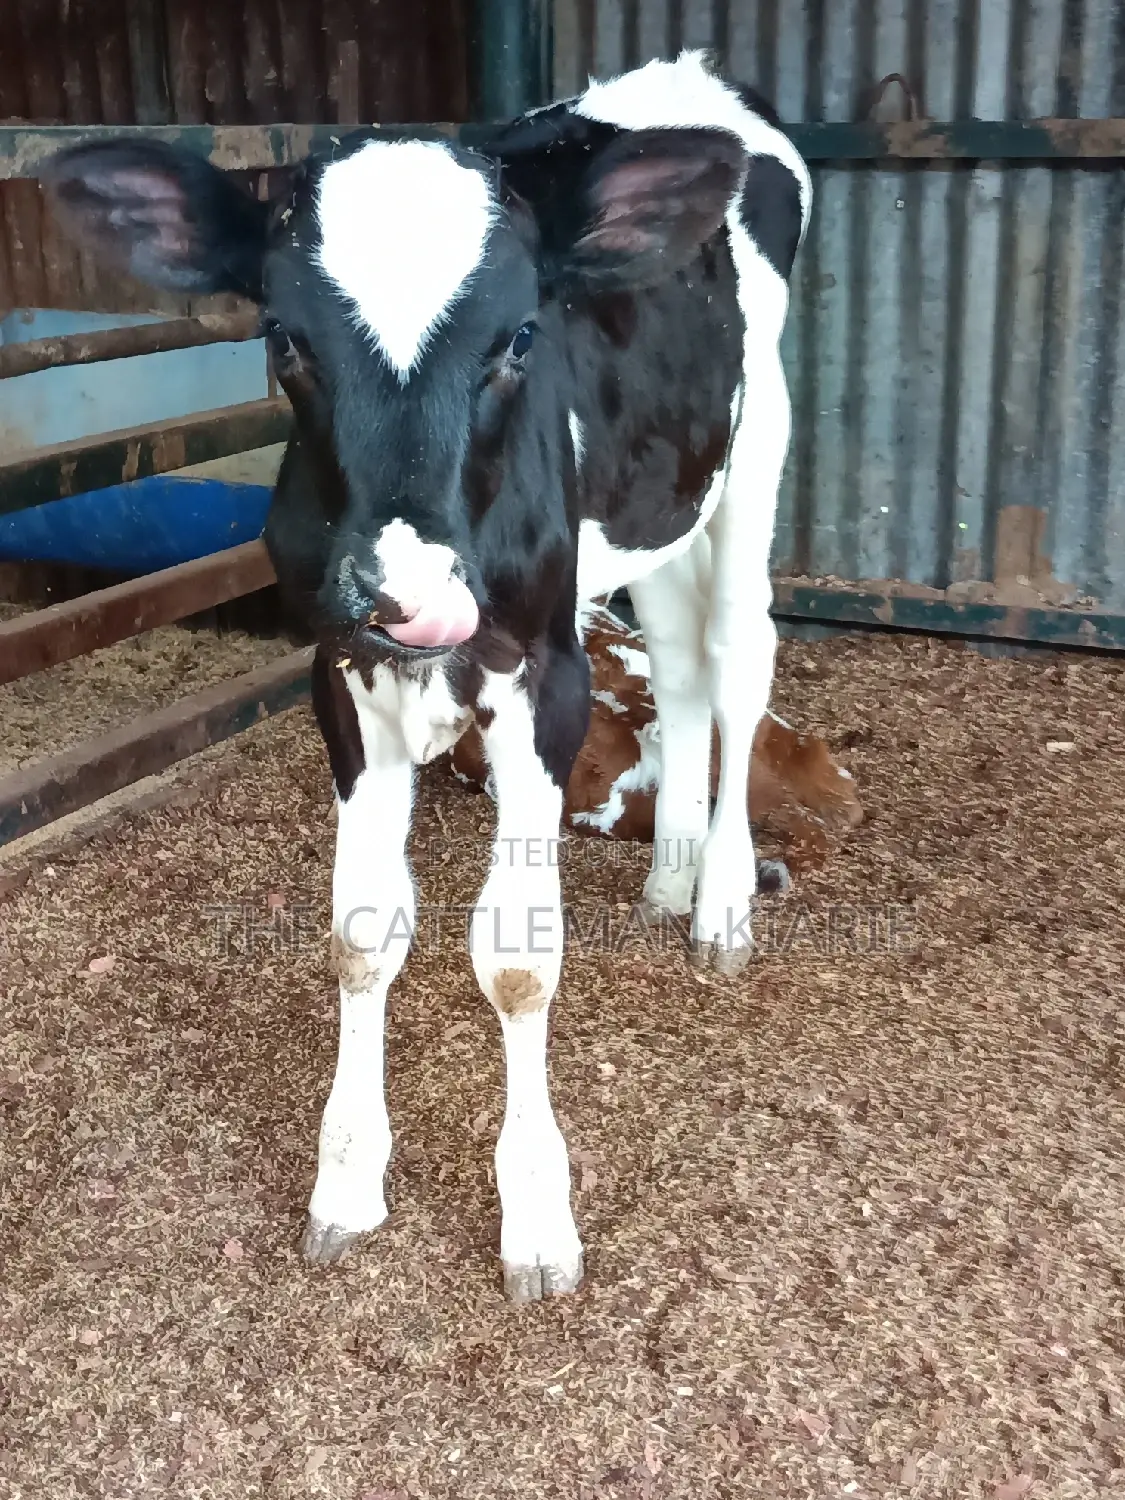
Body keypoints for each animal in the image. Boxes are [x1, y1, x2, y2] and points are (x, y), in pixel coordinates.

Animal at [45, 50, 812, 1300]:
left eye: (519, 338)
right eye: (284, 338)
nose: (411, 595)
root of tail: (690, 76)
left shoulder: (547, 674)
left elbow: (518, 959)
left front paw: (537, 1221)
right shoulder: (343, 674)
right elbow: (362, 934)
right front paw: (348, 1185)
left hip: (755, 455)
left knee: (739, 662)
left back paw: (723, 904)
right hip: (647, 511)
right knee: (680, 659)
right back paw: (671, 872)